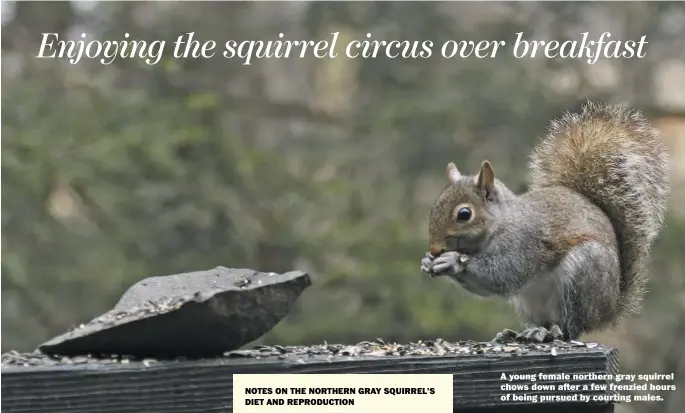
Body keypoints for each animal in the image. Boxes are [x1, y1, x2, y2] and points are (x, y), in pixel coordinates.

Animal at [420, 101, 672, 340]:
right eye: (435, 208)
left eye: (464, 214)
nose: (434, 250)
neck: (501, 223)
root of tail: (608, 311)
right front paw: (427, 262)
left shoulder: (523, 242)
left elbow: (501, 275)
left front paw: (451, 261)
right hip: (527, 302)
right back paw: (522, 333)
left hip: (582, 275)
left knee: (571, 328)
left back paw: (551, 333)